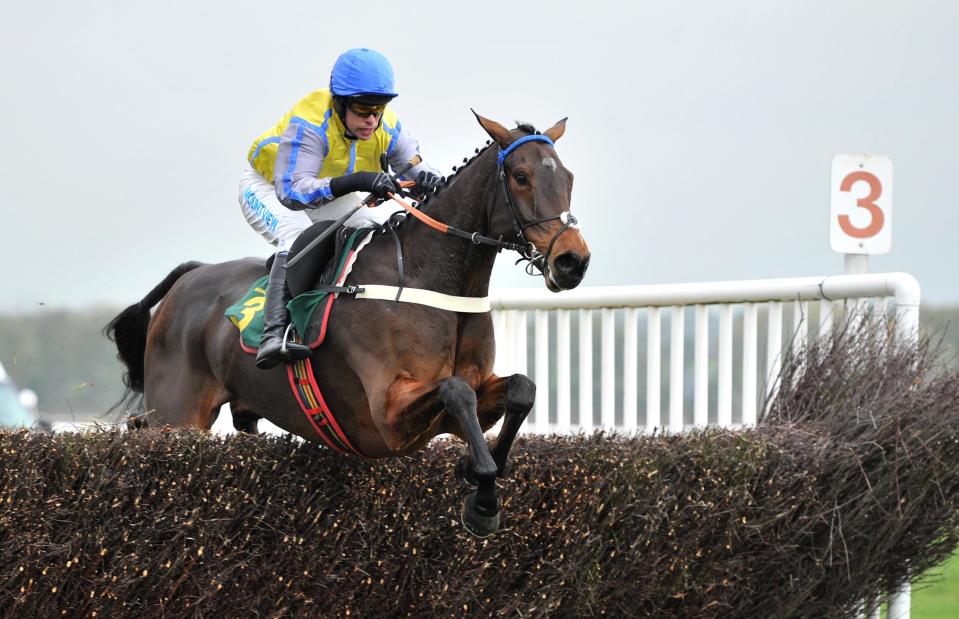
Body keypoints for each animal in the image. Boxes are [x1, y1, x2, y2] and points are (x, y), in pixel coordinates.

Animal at [103, 112, 584, 536]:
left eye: (569, 178)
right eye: (520, 176)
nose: (572, 260)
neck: (430, 278)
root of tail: (190, 276)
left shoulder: (461, 406)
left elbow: (521, 388)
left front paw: (477, 471)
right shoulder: (387, 416)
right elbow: (455, 390)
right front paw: (482, 502)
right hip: (177, 416)